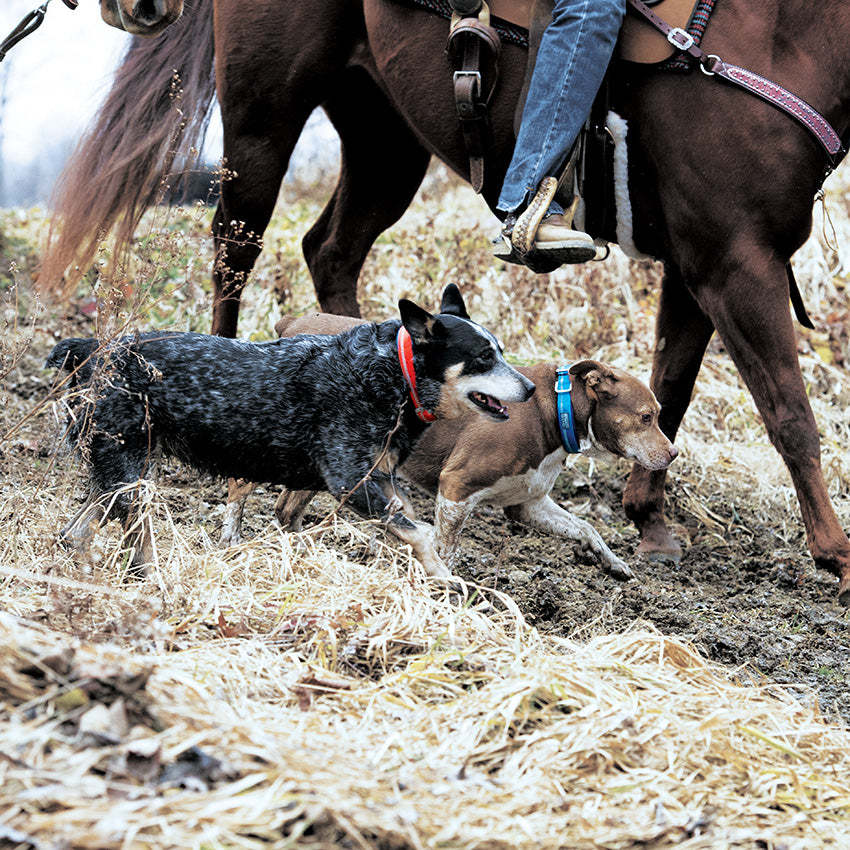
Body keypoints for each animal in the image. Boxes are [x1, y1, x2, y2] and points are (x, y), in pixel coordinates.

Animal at [46, 284, 528, 576]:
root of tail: (91, 350)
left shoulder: (372, 477)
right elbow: (418, 532)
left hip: (121, 470)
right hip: (132, 473)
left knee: (75, 533)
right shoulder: (352, 481)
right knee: (133, 536)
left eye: (501, 351)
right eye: (484, 357)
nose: (530, 387)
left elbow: (409, 524)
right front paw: (446, 580)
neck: (394, 372)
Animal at [222, 314, 680, 580]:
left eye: (659, 413)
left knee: (286, 510)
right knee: (240, 489)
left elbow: (586, 528)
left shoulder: (527, 504)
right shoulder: (457, 489)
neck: (556, 409)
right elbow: (446, 546)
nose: (673, 454)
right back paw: (230, 541)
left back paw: (305, 554)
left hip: (335, 460)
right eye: (646, 417)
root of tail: (289, 326)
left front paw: (614, 563)